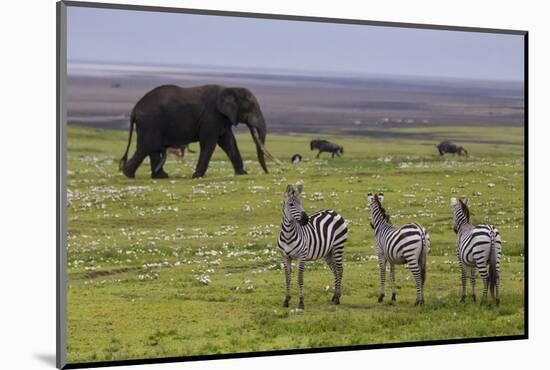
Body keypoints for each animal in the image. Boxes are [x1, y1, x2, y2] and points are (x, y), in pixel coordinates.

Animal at [120, 85, 280, 181]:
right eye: (251, 108)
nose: (267, 173)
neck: (229, 89)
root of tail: (134, 110)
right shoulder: (211, 116)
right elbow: (209, 143)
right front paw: (196, 176)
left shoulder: (222, 118)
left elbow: (229, 142)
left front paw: (242, 173)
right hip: (150, 123)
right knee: (146, 148)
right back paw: (129, 174)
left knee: (151, 149)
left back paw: (160, 176)